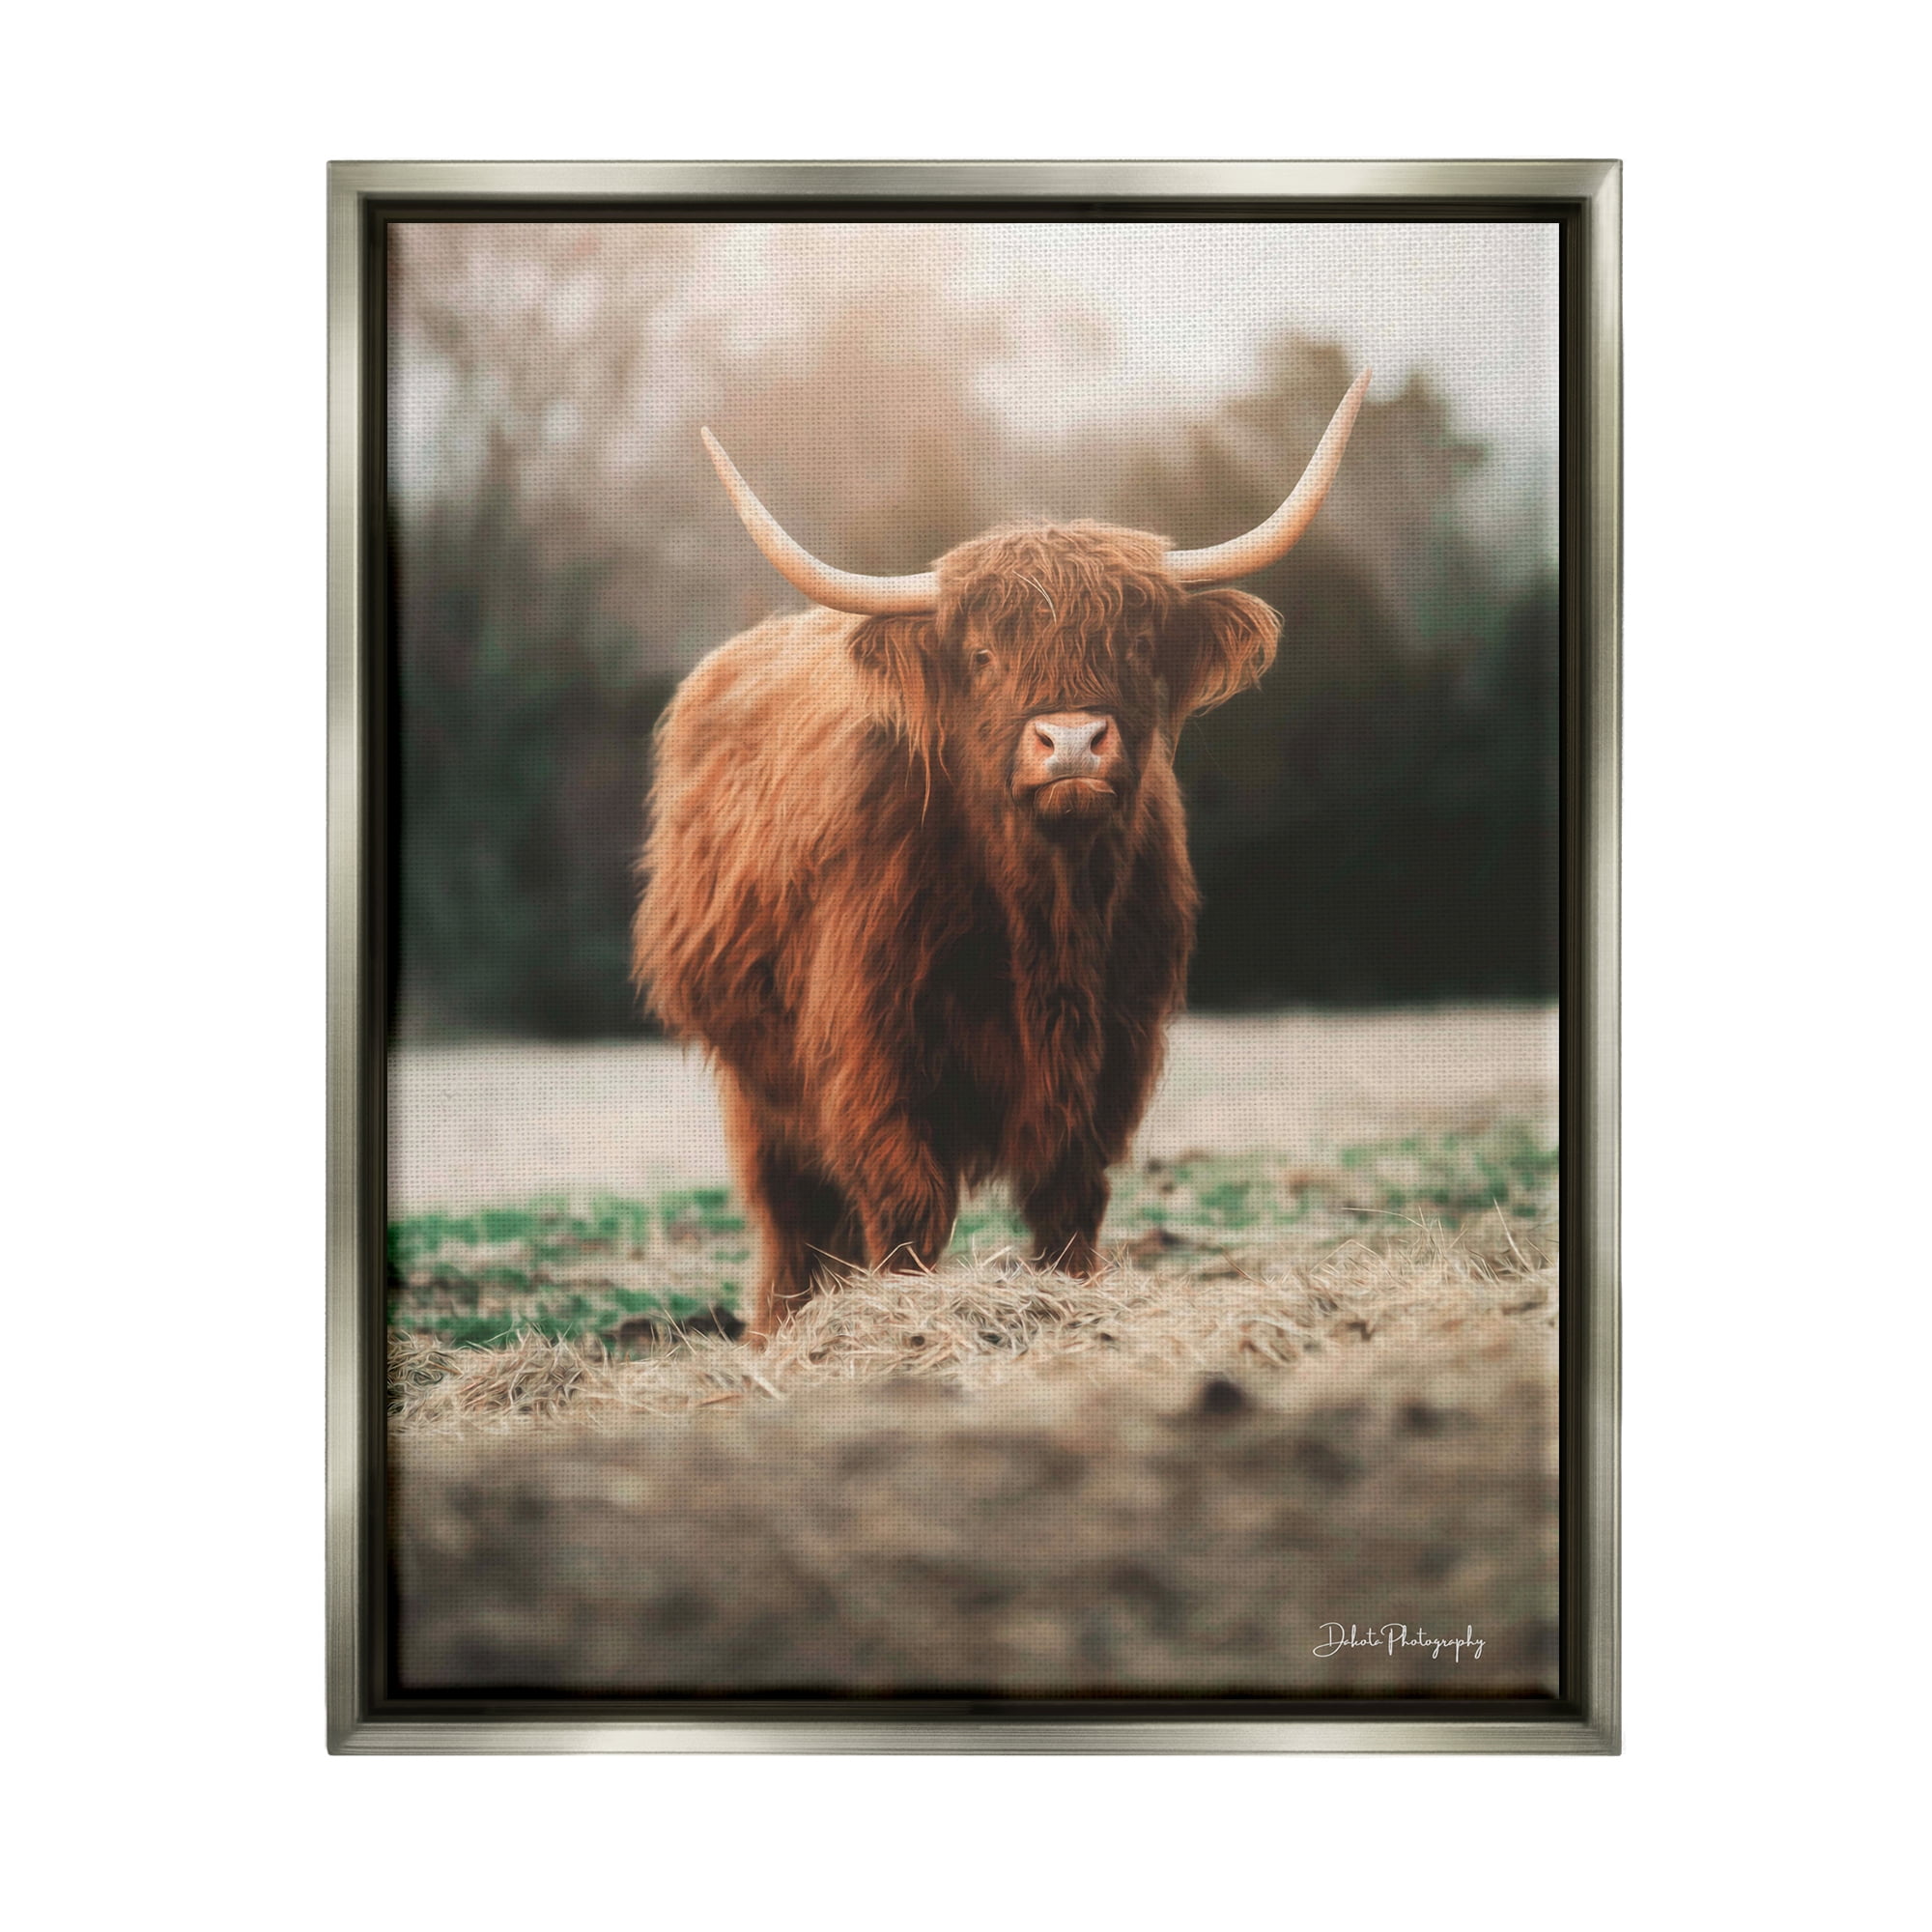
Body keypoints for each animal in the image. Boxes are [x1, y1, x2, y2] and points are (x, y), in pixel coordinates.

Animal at [633, 373, 1370, 1341]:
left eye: (1138, 645)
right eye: (983, 656)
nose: (1072, 742)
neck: (1045, 908)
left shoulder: (1112, 1051)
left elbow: (1070, 1200)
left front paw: (1068, 1302)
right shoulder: (871, 1053)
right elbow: (906, 1204)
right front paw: (906, 1320)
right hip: (756, 1078)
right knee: (789, 1214)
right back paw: (779, 1333)